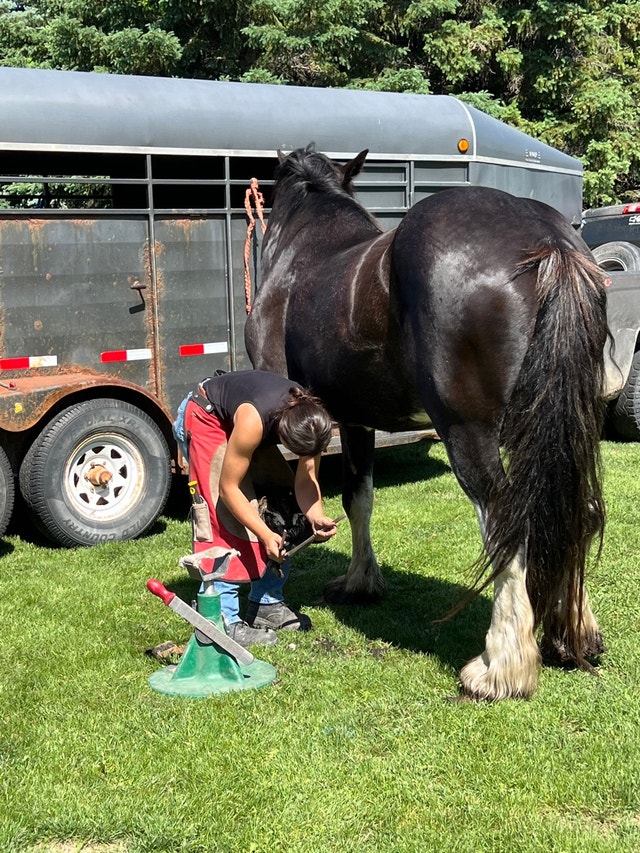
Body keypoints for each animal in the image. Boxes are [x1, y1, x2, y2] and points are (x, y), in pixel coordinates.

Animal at [244, 143, 609, 701]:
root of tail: (548, 242)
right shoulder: (356, 420)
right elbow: (359, 497)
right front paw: (361, 581)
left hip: (468, 432)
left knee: (506, 521)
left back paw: (499, 669)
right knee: (581, 510)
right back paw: (574, 635)